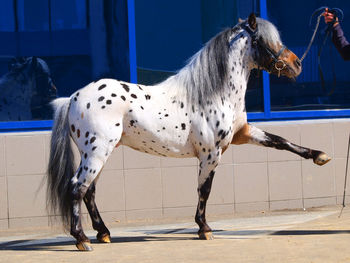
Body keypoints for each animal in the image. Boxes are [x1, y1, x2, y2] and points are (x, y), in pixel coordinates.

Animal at [46, 13, 330, 252]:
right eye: (264, 40)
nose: (297, 64)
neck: (214, 93)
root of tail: (72, 98)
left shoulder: (243, 134)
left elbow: (282, 141)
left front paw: (320, 156)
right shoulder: (211, 154)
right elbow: (204, 189)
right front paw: (204, 228)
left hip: (99, 153)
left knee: (89, 191)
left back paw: (103, 233)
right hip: (97, 152)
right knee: (77, 188)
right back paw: (82, 239)